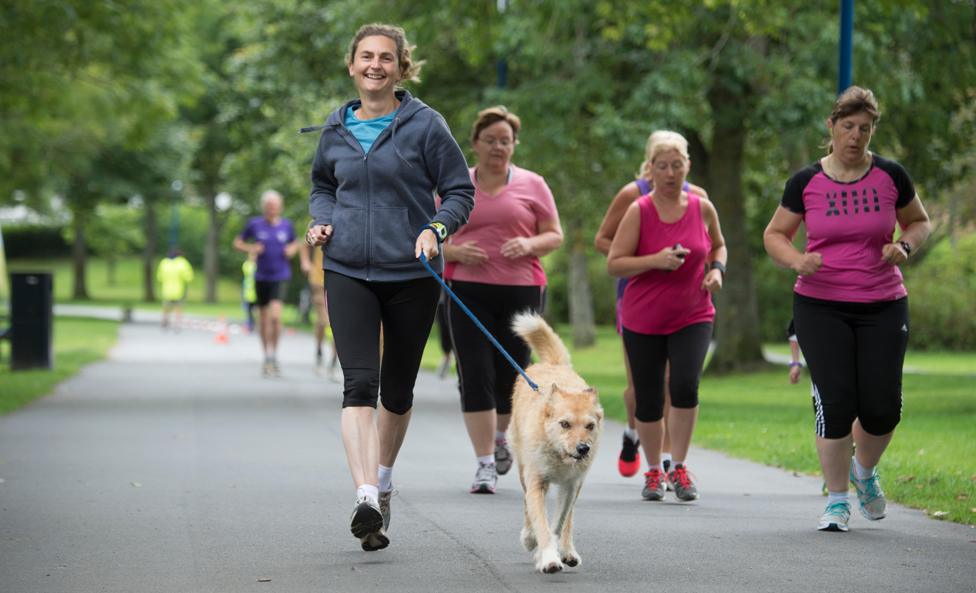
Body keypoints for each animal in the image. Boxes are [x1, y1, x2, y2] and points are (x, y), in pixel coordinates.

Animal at [510, 312, 604, 572]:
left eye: (590, 426)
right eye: (564, 424)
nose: (583, 449)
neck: (558, 454)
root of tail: (554, 364)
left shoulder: (570, 486)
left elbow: (559, 522)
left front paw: (551, 551)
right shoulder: (535, 482)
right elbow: (540, 522)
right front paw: (548, 557)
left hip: (577, 485)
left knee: (568, 519)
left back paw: (568, 551)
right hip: (522, 469)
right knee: (526, 507)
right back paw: (529, 538)